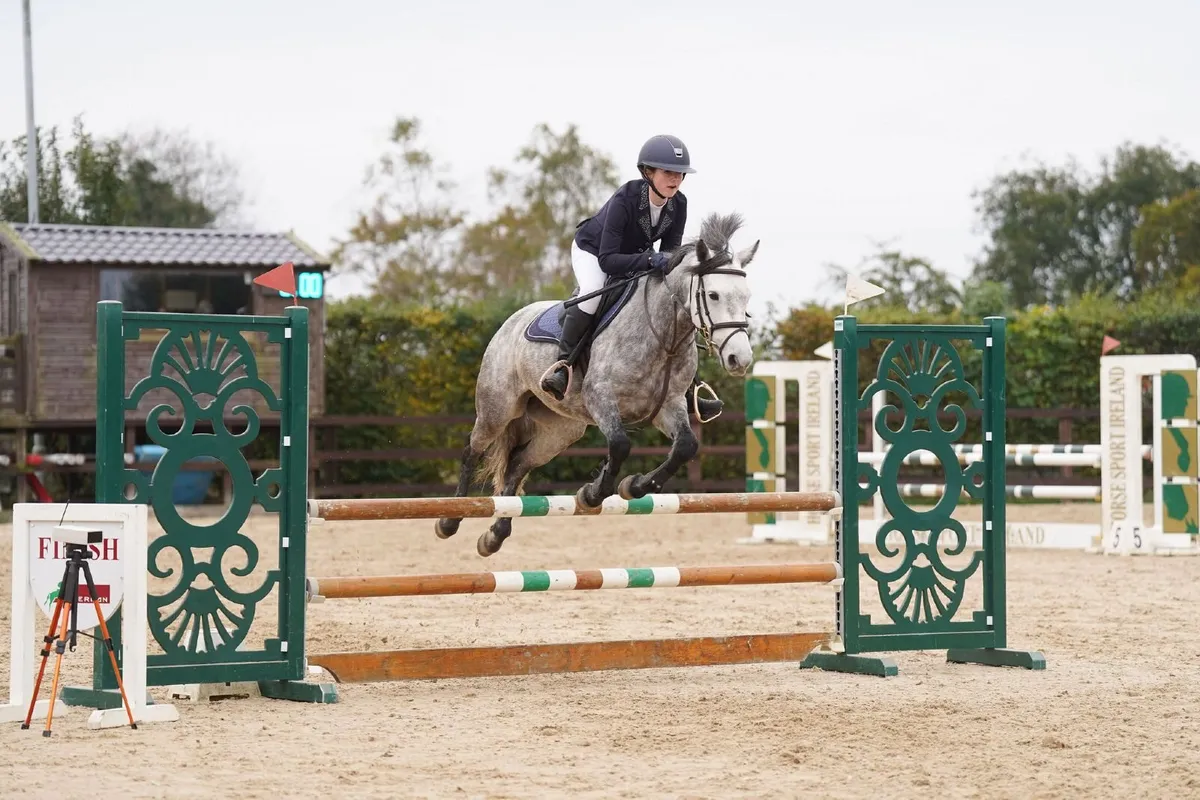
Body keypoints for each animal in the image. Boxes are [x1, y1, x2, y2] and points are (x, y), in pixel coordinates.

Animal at [435, 212, 759, 556]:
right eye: (713, 295)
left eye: (746, 297)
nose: (740, 359)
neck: (661, 335)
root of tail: (512, 320)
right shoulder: (600, 398)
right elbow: (619, 445)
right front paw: (593, 493)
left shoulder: (668, 405)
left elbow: (685, 447)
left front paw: (634, 486)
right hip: (498, 409)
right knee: (472, 449)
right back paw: (449, 520)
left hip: (560, 430)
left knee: (518, 464)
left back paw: (495, 536)